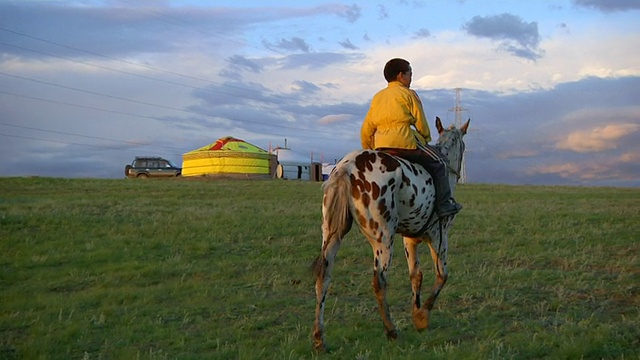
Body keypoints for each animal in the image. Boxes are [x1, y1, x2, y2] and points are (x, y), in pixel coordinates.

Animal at [312, 117, 470, 352]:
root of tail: (346, 167)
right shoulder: (439, 236)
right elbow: (442, 275)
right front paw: (422, 317)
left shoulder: (410, 240)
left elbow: (416, 276)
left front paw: (416, 313)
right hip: (384, 239)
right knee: (379, 281)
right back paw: (391, 330)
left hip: (332, 235)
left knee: (323, 276)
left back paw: (319, 338)